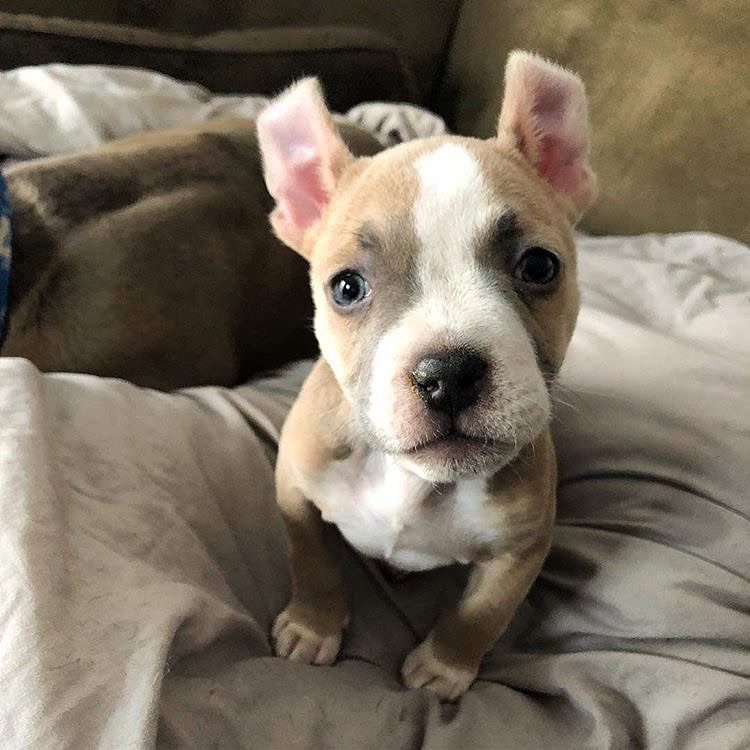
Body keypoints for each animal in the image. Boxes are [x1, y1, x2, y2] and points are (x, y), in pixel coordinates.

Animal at [260, 50, 600, 704]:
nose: (448, 373)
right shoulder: (295, 489)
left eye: (539, 266)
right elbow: (310, 559)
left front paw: (444, 667)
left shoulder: (520, 550)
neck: (414, 480)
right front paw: (314, 625)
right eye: (347, 287)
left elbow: (480, 616)